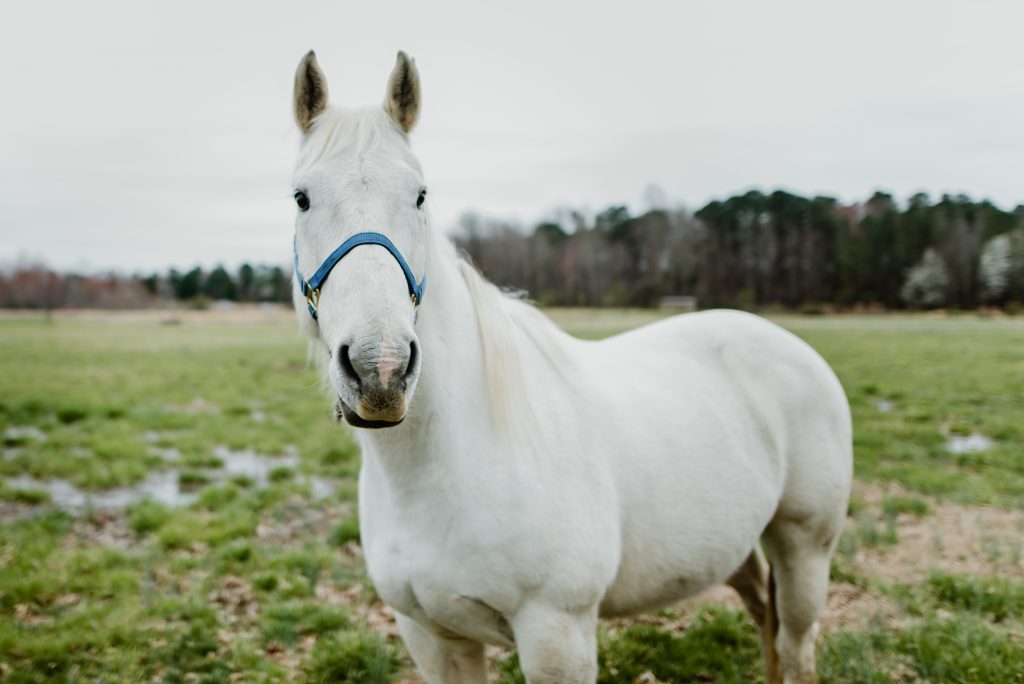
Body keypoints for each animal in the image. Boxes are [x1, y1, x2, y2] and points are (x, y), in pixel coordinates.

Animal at [286, 50, 847, 679]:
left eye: (421, 195)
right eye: (301, 197)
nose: (379, 369)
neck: (448, 460)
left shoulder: (558, 636)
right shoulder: (433, 638)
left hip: (804, 547)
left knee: (795, 643)